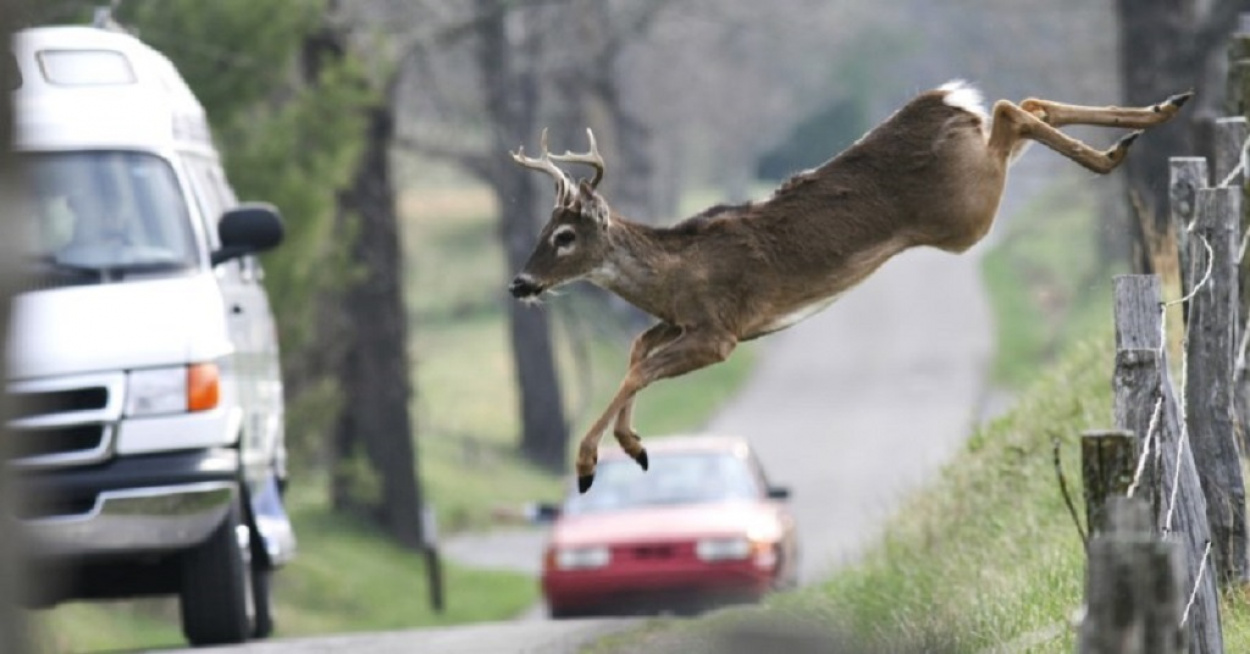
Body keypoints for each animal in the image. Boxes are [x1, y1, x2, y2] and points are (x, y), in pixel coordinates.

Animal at [510, 81, 1190, 490]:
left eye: (563, 236)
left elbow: (639, 367)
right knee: (1025, 104)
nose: (520, 283)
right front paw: (634, 444)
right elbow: (636, 352)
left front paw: (590, 462)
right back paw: (1156, 115)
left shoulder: (720, 331)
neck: (673, 272)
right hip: (976, 186)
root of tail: (945, 100)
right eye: (543, 230)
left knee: (1010, 109)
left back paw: (1118, 147)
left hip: (968, 212)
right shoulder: (683, 323)